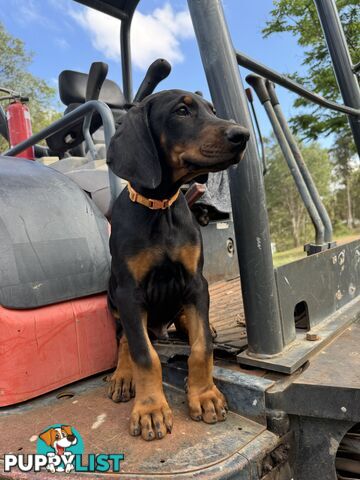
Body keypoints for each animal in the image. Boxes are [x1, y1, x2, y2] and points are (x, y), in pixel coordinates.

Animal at [107, 88, 248, 440]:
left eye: (213, 110)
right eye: (181, 111)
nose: (243, 135)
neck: (160, 208)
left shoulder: (196, 283)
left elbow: (202, 347)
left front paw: (205, 395)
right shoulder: (129, 293)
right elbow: (144, 354)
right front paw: (151, 409)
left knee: (189, 324)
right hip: (113, 297)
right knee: (125, 339)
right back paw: (122, 376)